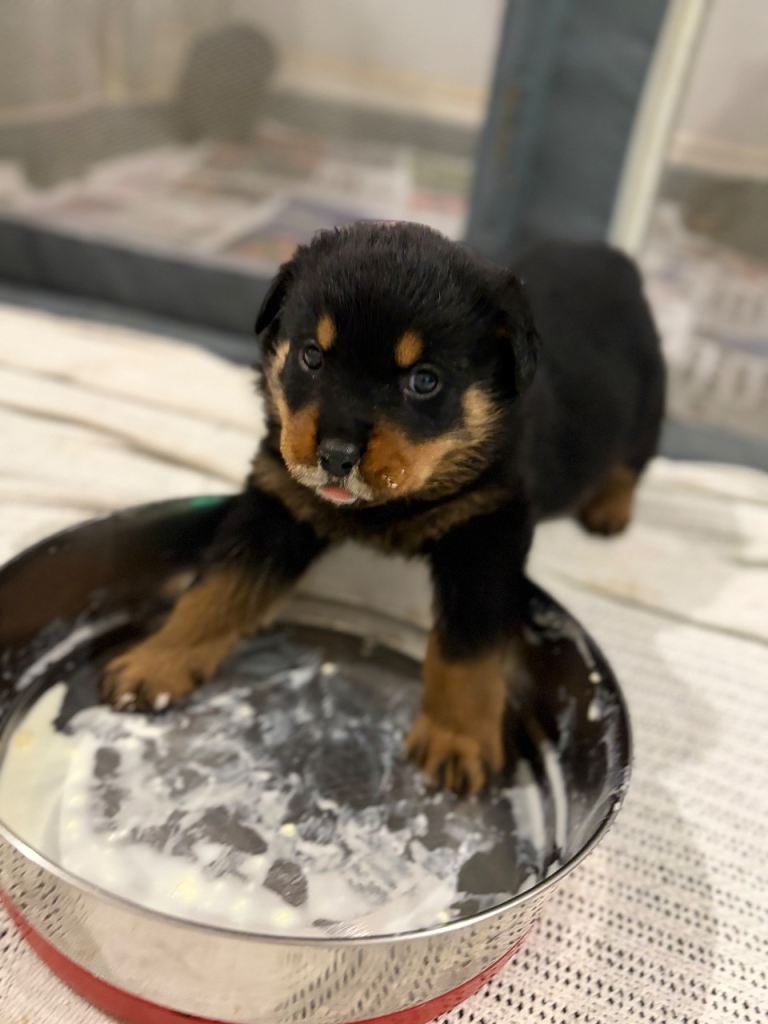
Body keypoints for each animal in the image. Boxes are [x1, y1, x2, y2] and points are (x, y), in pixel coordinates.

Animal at [102, 222, 664, 793]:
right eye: (312, 355)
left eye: (424, 380)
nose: (335, 456)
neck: (386, 505)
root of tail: (609, 257)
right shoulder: (279, 506)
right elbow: (216, 592)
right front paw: (157, 661)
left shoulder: (485, 532)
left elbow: (468, 645)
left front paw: (455, 738)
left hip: (649, 402)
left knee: (632, 462)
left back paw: (610, 510)